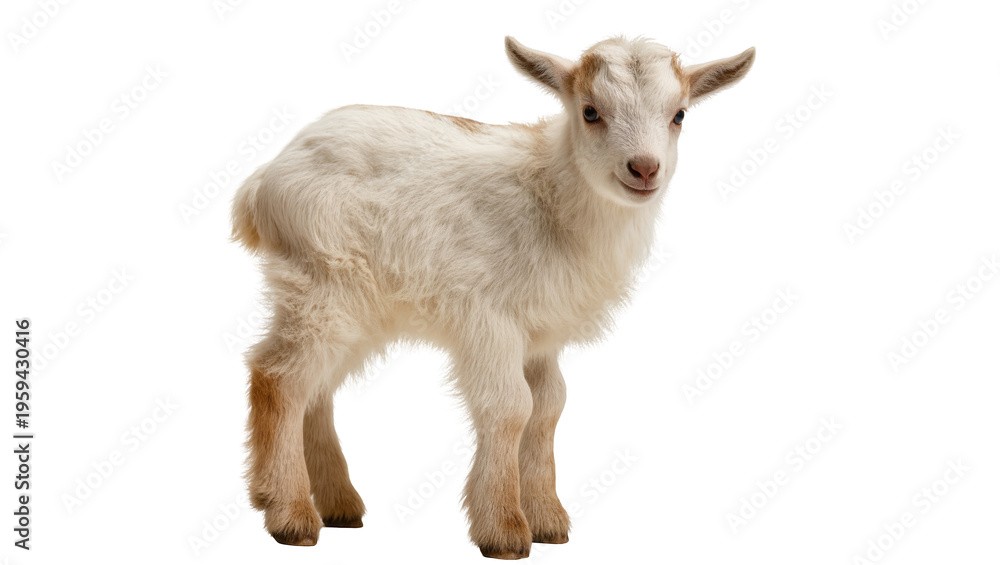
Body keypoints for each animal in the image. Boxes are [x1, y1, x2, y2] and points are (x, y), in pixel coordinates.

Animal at [232, 35, 754, 559]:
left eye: (679, 114)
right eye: (590, 111)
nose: (644, 169)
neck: (551, 193)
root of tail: (263, 182)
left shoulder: (541, 335)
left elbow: (549, 407)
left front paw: (548, 520)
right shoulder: (488, 318)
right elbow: (511, 407)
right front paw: (503, 528)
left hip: (357, 306)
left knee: (316, 388)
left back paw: (335, 504)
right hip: (322, 283)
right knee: (280, 378)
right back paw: (290, 514)